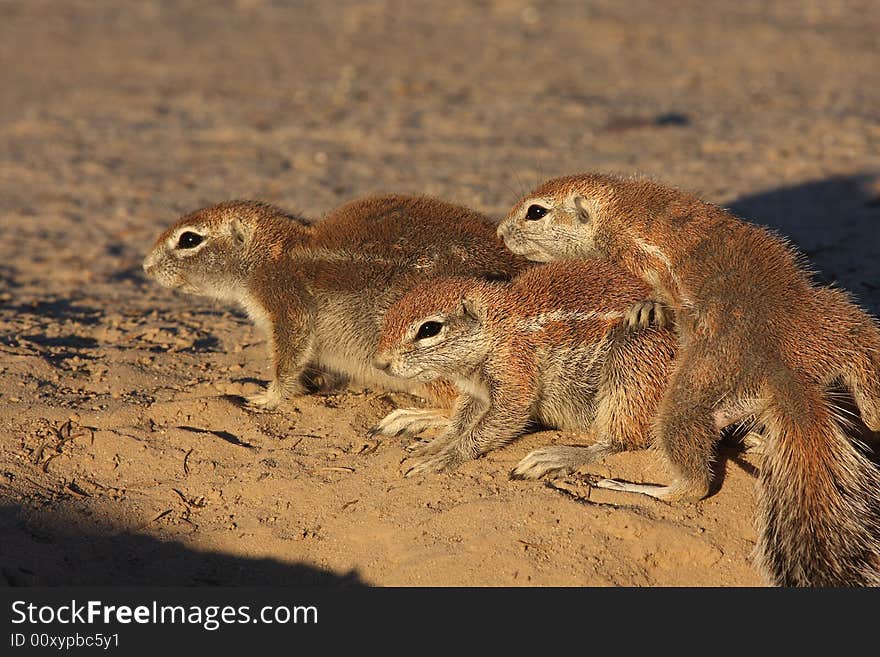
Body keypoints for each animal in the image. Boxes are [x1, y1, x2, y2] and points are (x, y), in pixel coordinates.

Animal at [368, 260, 676, 476]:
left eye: (429, 329)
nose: (380, 362)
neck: (496, 326)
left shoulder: (514, 371)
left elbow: (493, 424)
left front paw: (444, 458)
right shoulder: (476, 393)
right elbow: (460, 422)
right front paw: (434, 445)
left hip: (632, 361)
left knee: (621, 440)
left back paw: (557, 457)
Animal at [496, 172, 880, 588]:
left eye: (536, 212)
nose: (500, 232)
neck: (613, 203)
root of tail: (787, 372)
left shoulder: (631, 254)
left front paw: (649, 305)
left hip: (691, 389)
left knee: (693, 482)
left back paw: (635, 487)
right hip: (846, 326)